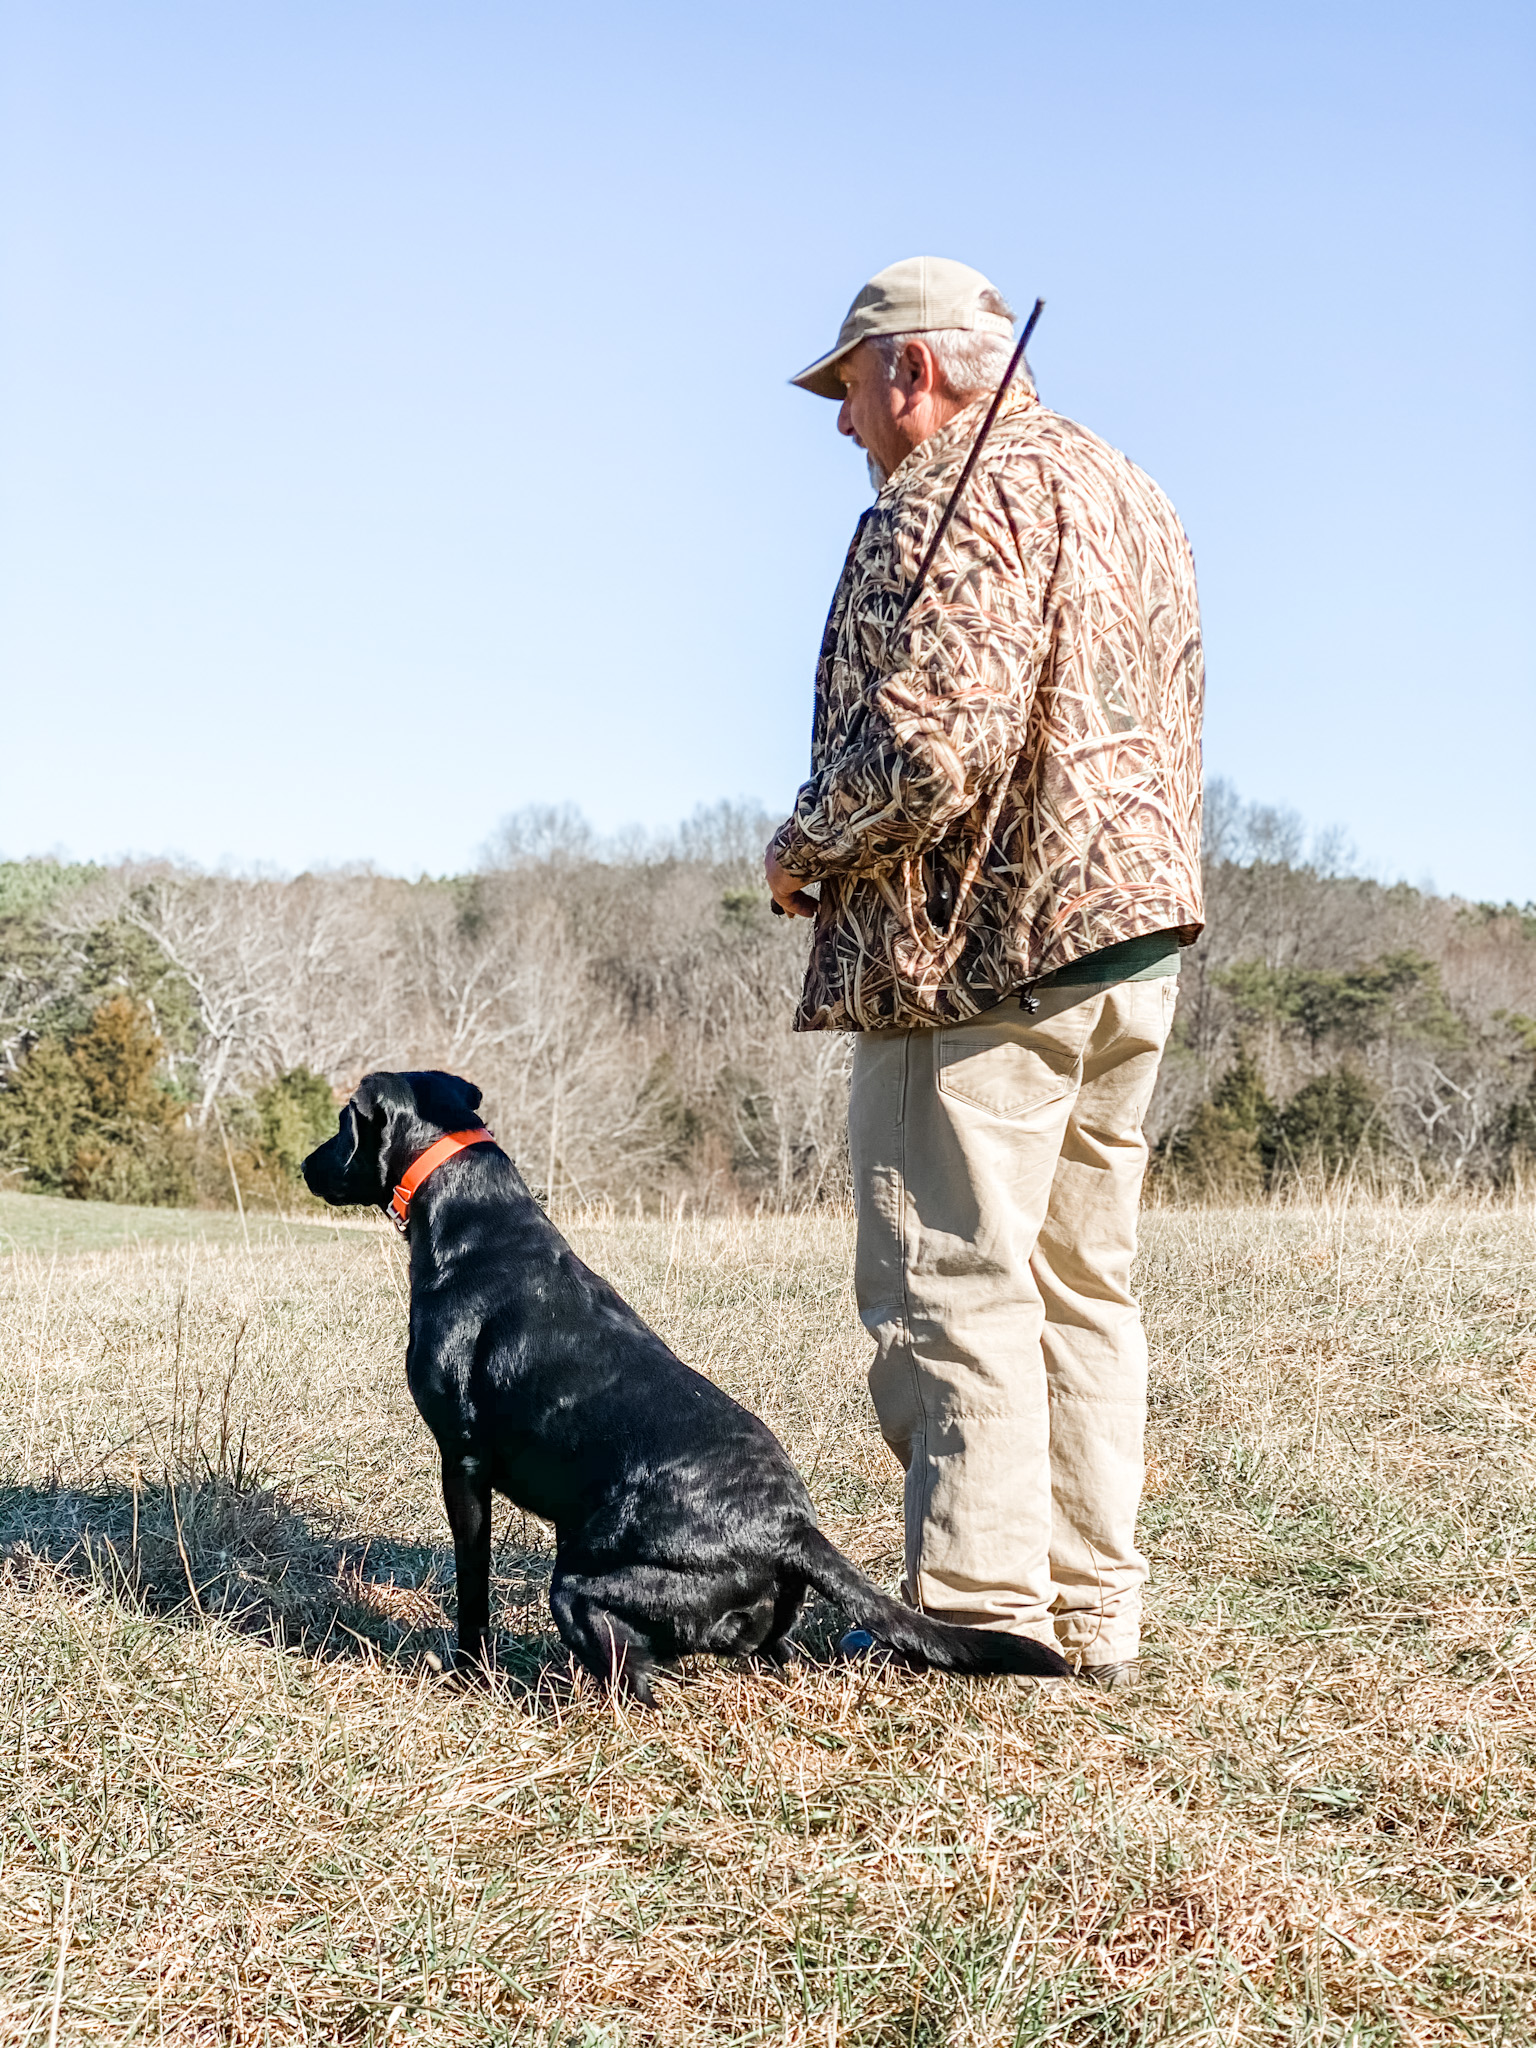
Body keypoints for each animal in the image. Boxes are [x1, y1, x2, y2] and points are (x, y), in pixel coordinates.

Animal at [301, 1064, 1073, 1703]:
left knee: (633, 1675)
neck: (476, 1219)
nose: (306, 1164)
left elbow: (472, 1584)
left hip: (578, 1588)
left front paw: (467, 1669)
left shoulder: (461, 1461)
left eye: (341, 1121)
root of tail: (792, 1530)